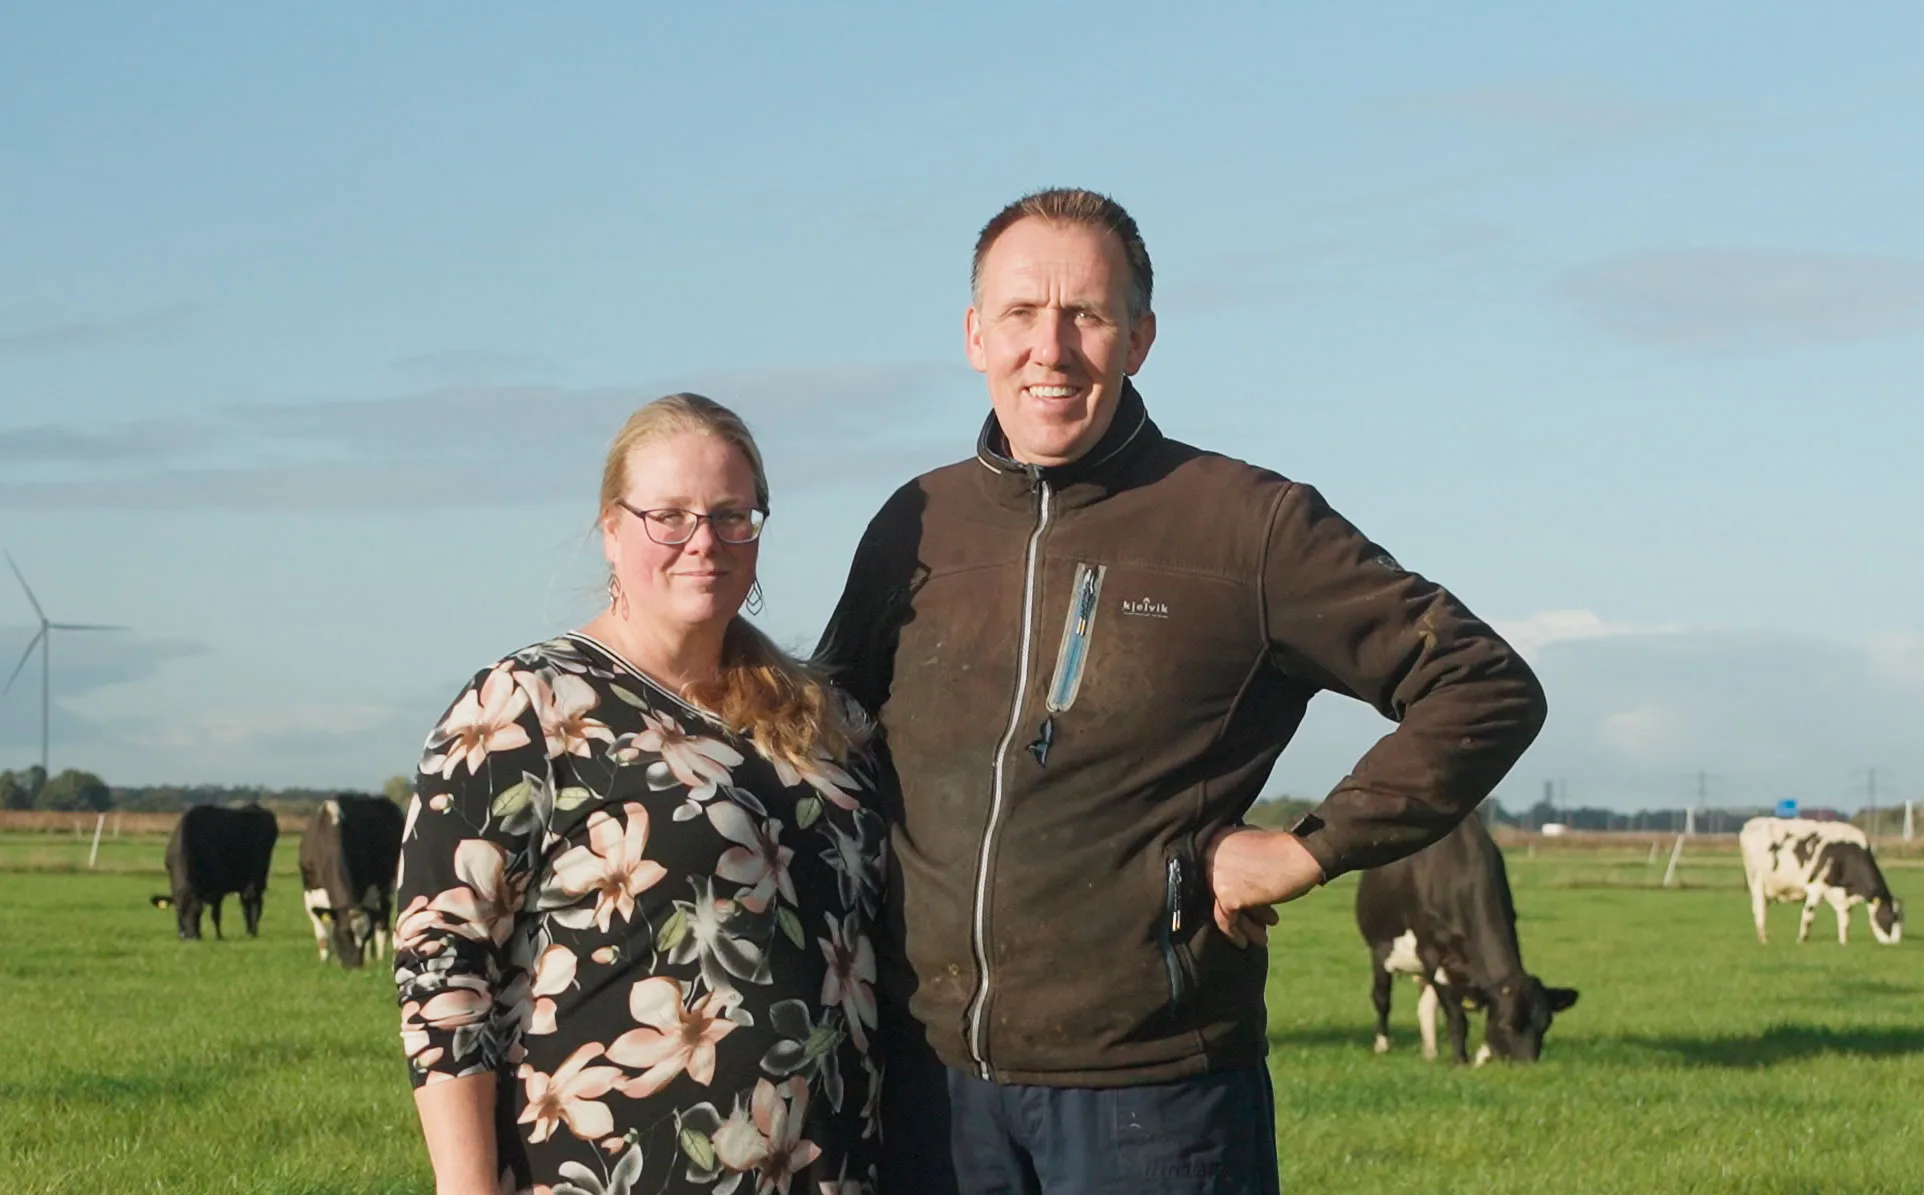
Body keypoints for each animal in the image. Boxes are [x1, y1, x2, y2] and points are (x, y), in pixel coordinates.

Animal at [149, 800, 278, 942]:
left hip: (258, 880)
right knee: (246, 905)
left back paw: (253, 932)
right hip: (244, 886)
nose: (191, 937)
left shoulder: (217, 890)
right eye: (180, 911)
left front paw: (219, 936)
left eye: (199, 912)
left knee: (255, 904)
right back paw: (249, 931)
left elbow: (216, 915)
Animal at [298, 792, 407, 969]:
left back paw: (378, 958)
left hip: (387, 887)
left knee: (381, 924)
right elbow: (323, 936)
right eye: (344, 933)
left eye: (363, 936)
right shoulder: (310, 895)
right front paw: (324, 962)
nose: (355, 966)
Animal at [1354, 812, 1577, 1062]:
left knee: (1425, 1006)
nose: (1529, 1065)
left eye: (1545, 1025)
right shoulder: (1432, 955)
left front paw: (1482, 1056)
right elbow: (1457, 1017)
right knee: (1382, 997)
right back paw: (1383, 1044)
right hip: (1381, 949)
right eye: (1507, 1025)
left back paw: (1430, 1052)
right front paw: (1461, 1060)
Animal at [1739, 815, 1900, 946]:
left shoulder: (1843, 896)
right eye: (1889, 917)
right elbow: (1808, 915)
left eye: (1901, 918)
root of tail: (1752, 823)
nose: (1896, 943)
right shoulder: (1815, 887)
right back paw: (1764, 941)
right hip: (1757, 882)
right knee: (1759, 911)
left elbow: (1845, 920)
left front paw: (1844, 942)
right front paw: (1801, 940)